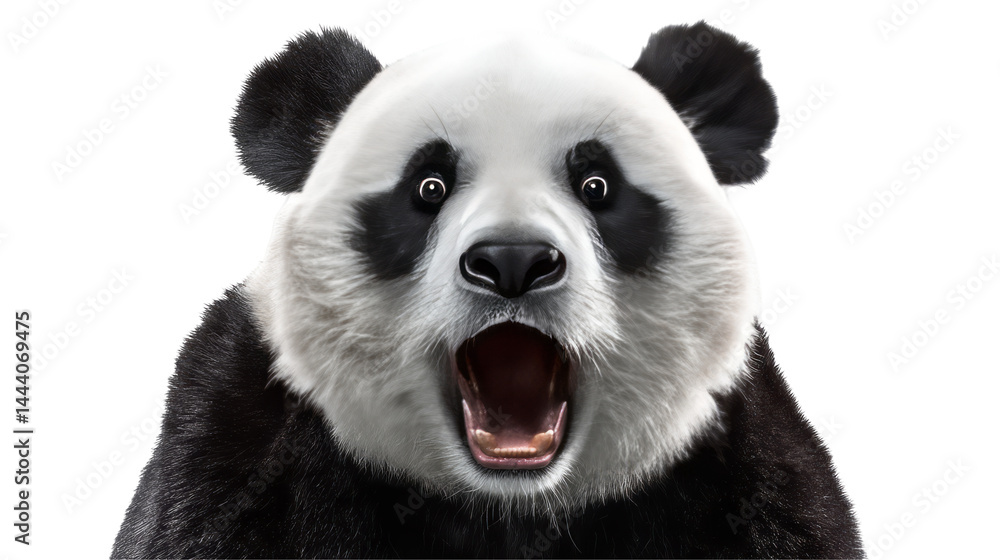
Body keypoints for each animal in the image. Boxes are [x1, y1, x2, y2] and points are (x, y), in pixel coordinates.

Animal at [113, 22, 862, 559]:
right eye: (428, 186)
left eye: (597, 184)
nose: (512, 261)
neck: (507, 504)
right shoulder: (243, 442)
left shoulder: (743, 469)